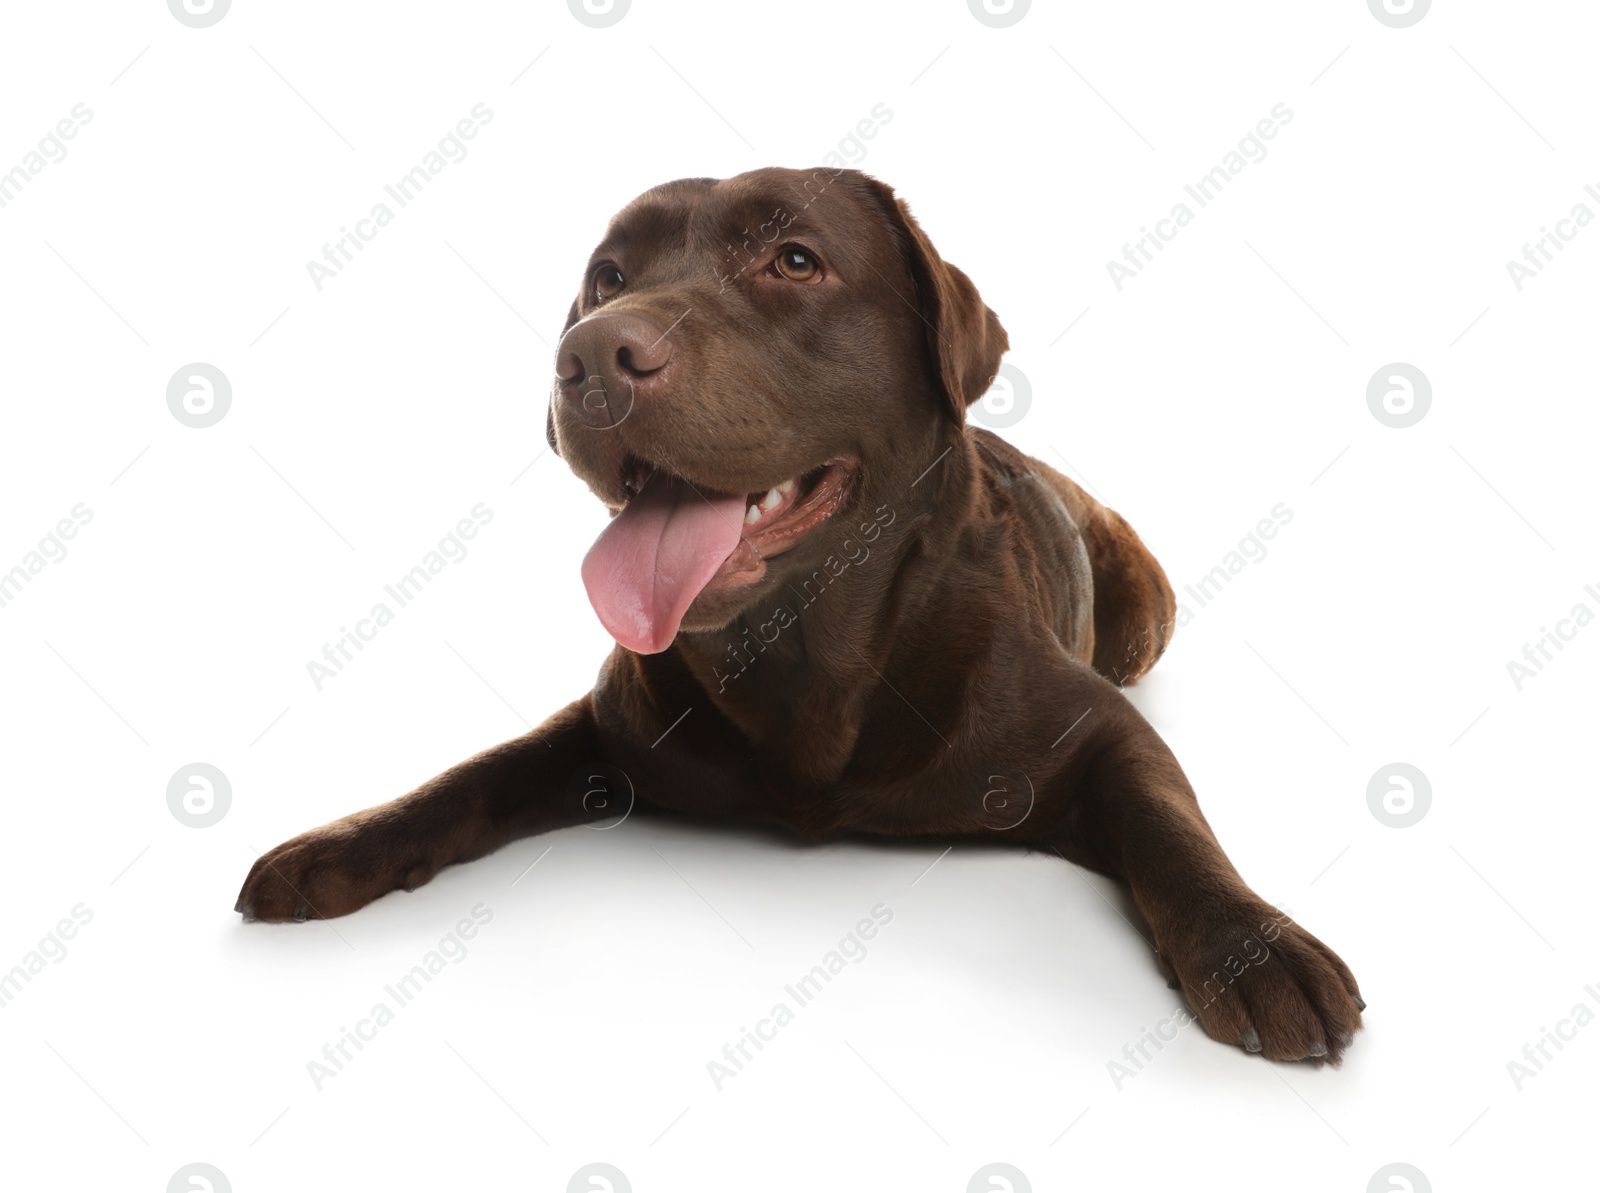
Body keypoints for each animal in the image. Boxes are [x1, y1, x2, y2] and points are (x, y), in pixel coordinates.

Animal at [236, 164, 1363, 1061]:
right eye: (608, 277)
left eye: (794, 260)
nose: (590, 356)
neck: (803, 654)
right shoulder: (607, 726)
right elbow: (476, 772)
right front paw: (343, 840)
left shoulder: (1103, 731)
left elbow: (1168, 816)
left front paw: (1252, 945)